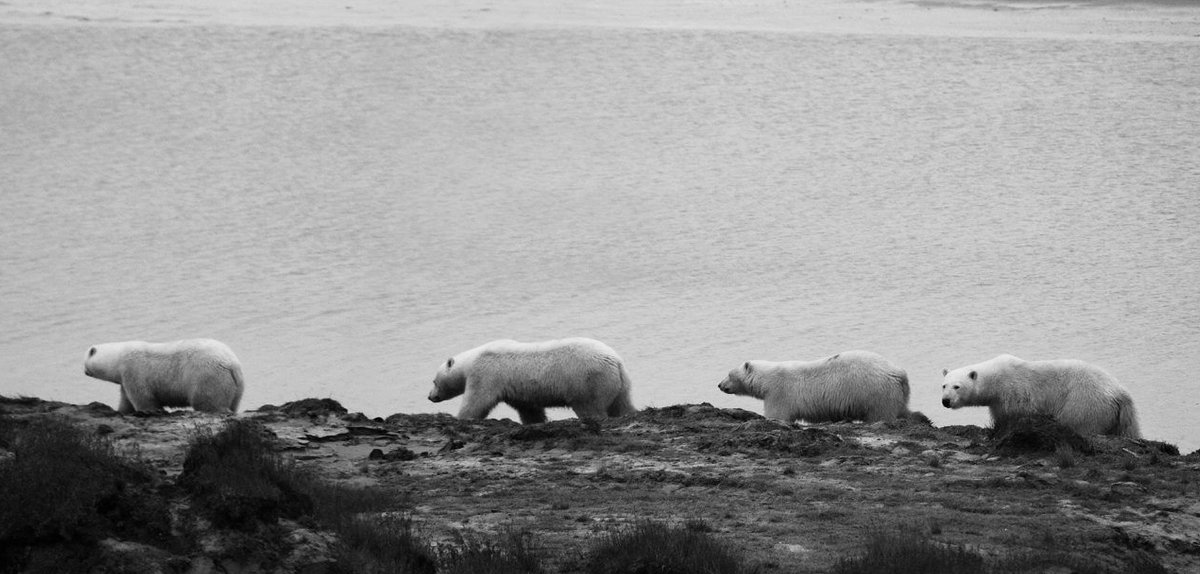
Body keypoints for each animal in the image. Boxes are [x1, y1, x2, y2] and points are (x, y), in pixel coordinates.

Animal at [85, 336, 246, 413]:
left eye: (84, 362)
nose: (85, 372)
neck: (119, 357)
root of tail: (232, 365)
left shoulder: (134, 370)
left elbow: (143, 397)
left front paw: (150, 410)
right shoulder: (125, 379)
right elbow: (126, 400)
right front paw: (121, 411)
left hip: (206, 374)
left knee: (207, 401)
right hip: (237, 387)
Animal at [432, 336, 638, 425]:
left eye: (434, 381)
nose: (430, 397)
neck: (472, 360)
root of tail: (615, 361)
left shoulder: (486, 374)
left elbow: (477, 400)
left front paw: (460, 417)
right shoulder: (517, 391)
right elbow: (529, 409)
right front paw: (535, 422)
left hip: (588, 381)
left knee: (590, 407)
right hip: (620, 383)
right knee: (622, 404)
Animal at [715, 348, 912, 422]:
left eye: (729, 374)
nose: (719, 385)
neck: (767, 379)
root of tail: (898, 373)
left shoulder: (779, 394)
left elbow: (777, 416)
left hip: (874, 393)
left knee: (880, 414)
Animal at [940, 353, 1137, 437]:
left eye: (957, 386)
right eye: (944, 385)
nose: (946, 401)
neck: (996, 378)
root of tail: (1120, 392)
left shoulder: (1013, 394)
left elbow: (1010, 418)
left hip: (1086, 401)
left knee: (1079, 422)